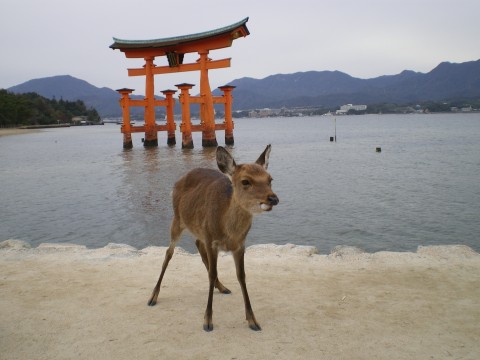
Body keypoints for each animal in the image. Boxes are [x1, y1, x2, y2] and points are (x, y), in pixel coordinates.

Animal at [148, 144, 280, 332]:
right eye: (245, 181)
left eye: (270, 179)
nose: (273, 198)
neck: (228, 231)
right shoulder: (212, 241)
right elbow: (211, 273)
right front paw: (208, 321)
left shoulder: (240, 245)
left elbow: (242, 276)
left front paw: (253, 320)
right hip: (177, 220)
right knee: (169, 253)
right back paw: (153, 297)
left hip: (199, 230)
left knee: (197, 243)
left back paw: (223, 287)